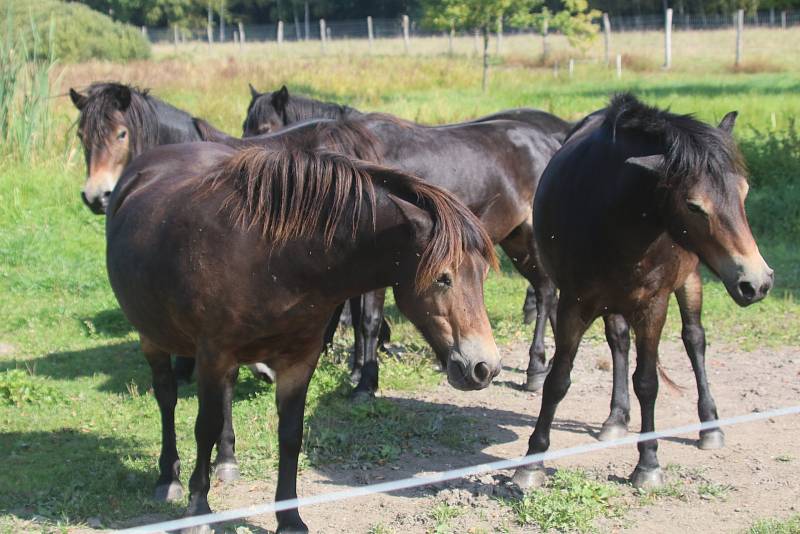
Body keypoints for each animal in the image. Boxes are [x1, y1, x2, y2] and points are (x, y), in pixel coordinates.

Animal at [103, 142, 496, 534]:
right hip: (153, 336)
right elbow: (204, 428)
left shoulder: (299, 359)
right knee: (166, 397)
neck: (276, 259)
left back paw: (227, 460)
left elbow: (291, 434)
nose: (484, 367)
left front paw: (289, 518)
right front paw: (198, 511)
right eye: (443, 277)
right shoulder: (212, 354)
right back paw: (167, 478)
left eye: (483, 274)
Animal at [512, 94, 776, 492]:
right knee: (619, 341)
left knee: (694, 340)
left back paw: (710, 426)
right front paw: (532, 461)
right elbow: (558, 381)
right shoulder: (574, 303)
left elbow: (648, 382)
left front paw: (648, 463)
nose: (756, 282)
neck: (614, 215)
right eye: (694, 205)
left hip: (690, 279)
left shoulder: (654, 305)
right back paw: (616, 418)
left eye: (744, 192)